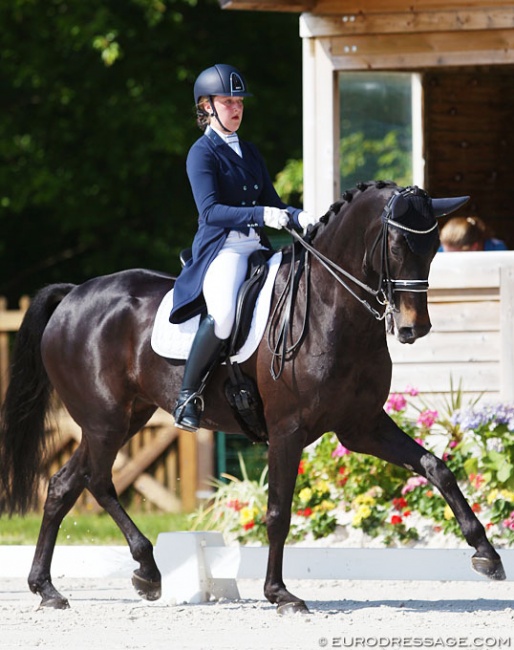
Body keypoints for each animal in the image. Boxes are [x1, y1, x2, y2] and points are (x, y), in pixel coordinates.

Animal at [0, 180, 504, 612]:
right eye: (397, 246)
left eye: (433, 249)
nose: (413, 328)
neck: (330, 309)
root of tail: (73, 294)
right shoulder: (288, 430)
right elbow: (279, 511)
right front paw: (280, 594)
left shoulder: (361, 426)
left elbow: (435, 467)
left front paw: (487, 554)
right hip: (105, 419)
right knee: (91, 481)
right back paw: (126, 573)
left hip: (127, 417)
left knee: (69, 484)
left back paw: (65, 585)